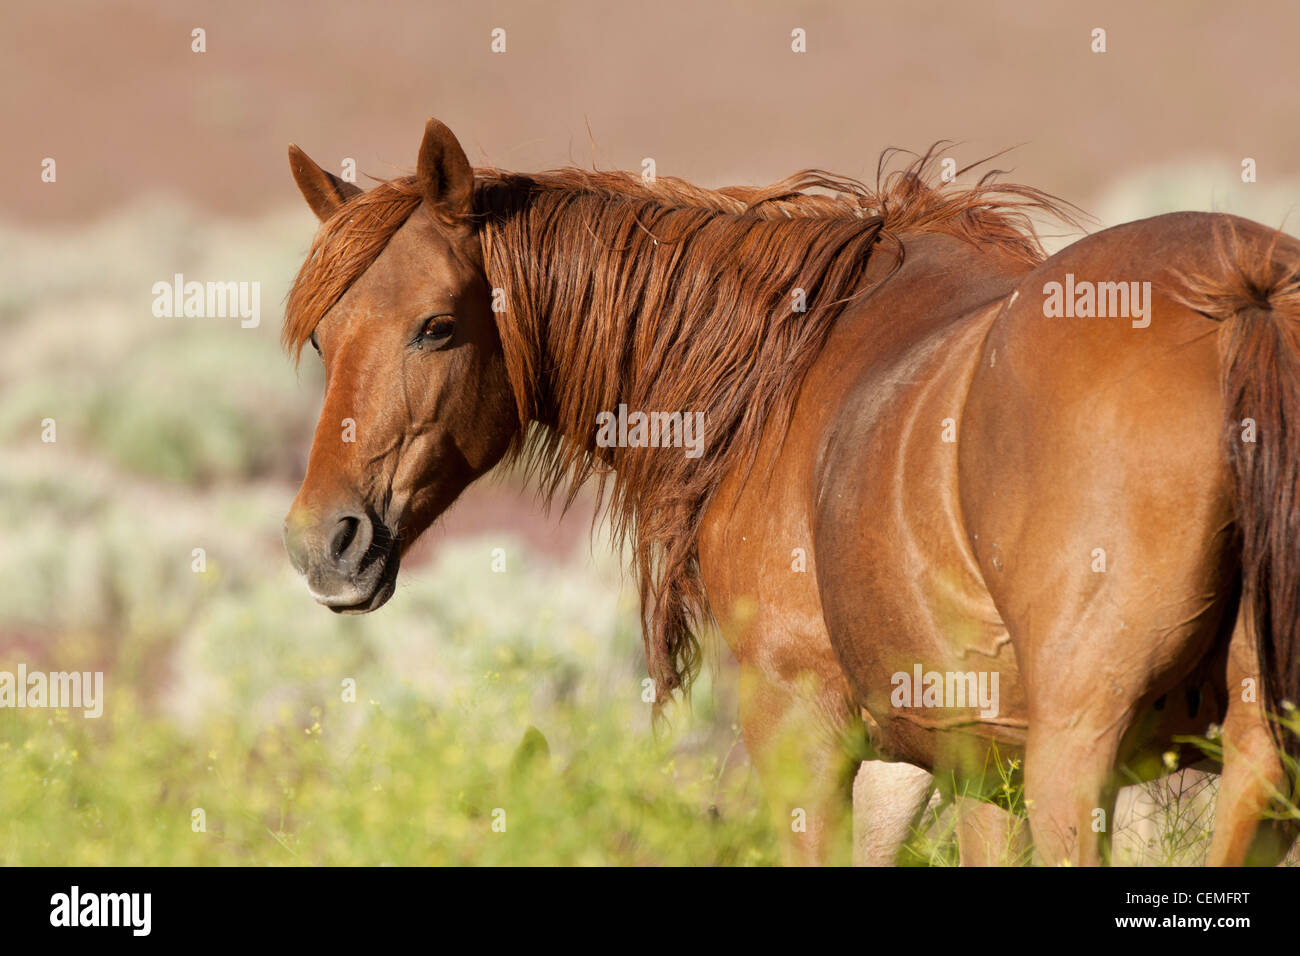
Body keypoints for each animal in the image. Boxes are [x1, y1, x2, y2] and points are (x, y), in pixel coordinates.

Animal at [282, 119, 1300, 868]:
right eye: (327, 338)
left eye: (436, 327)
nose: (322, 543)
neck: (777, 371)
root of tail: (1240, 296)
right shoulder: (954, 761)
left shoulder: (802, 730)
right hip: (1255, 763)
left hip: (1076, 764)